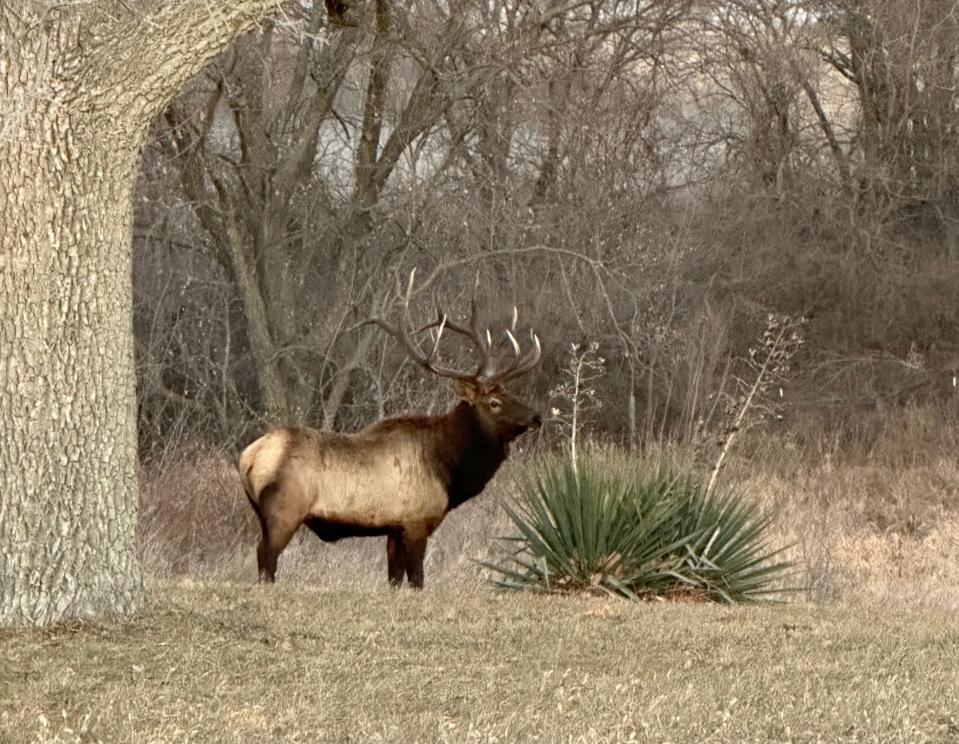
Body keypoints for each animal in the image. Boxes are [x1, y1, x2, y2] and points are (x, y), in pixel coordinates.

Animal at [237, 270, 544, 588]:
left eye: (509, 393)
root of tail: (248, 457)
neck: (447, 468)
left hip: (262, 514)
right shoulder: (416, 522)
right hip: (284, 511)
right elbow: (417, 579)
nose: (536, 417)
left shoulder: (393, 528)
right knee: (266, 557)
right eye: (494, 402)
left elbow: (394, 579)